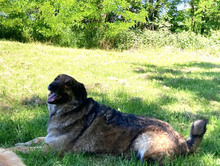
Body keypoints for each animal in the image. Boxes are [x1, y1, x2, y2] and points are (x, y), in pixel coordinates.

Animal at [12, 74, 208, 165]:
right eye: (55, 79)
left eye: (67, 84)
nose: (50, 86)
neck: (73, 108)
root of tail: (184, 142)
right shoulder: (47, 140)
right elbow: (32, 140)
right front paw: (19, 142)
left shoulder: (52, 150)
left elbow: (26, 150)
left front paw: (9, 148)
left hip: (144, 138)